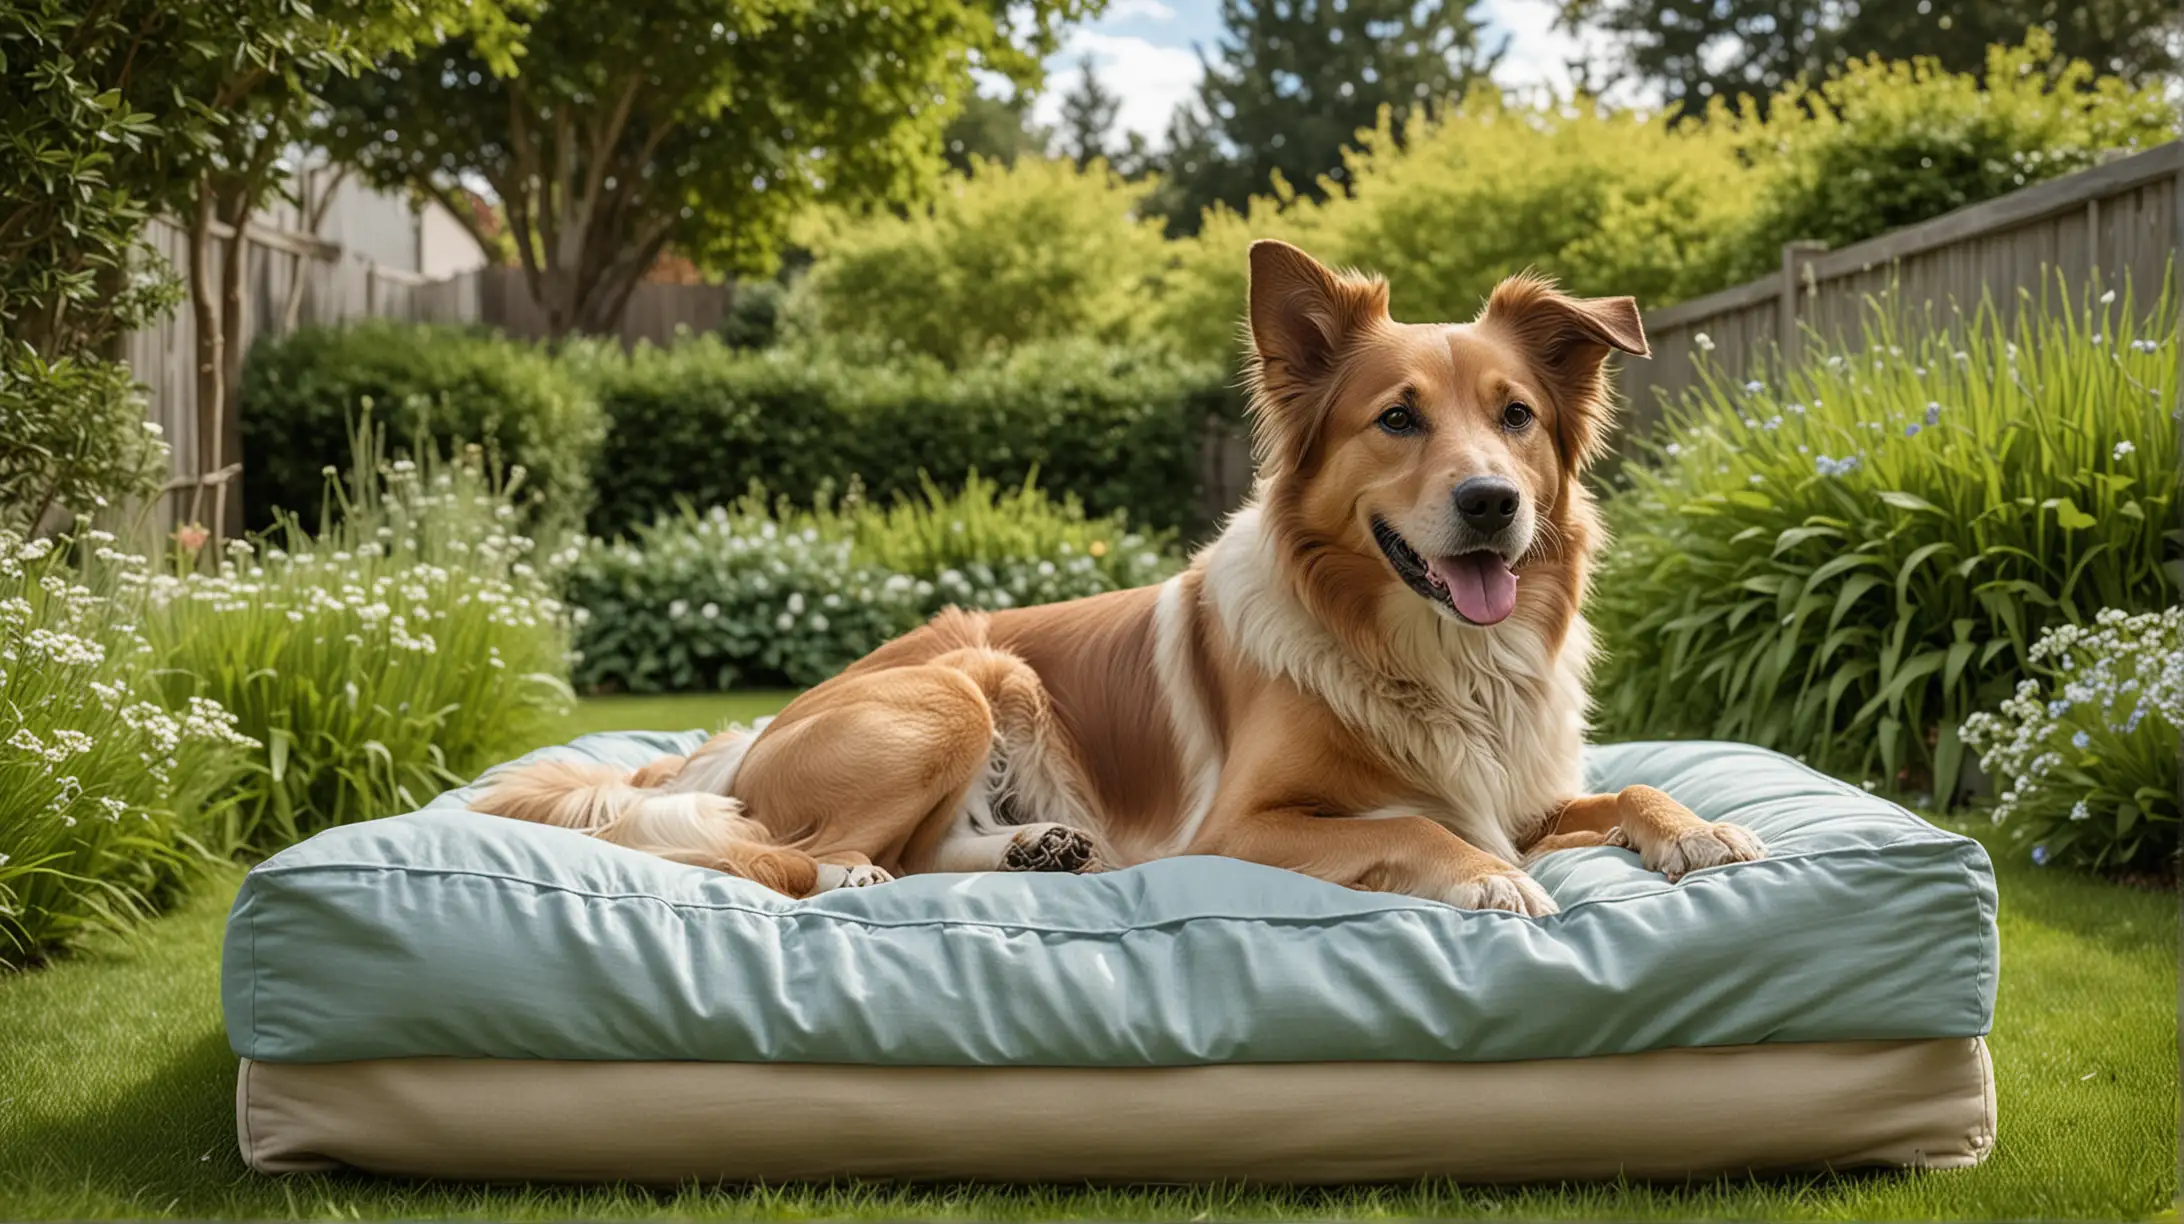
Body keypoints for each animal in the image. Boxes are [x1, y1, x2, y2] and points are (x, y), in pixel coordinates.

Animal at [469, 241, 1764, 909]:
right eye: (1397, 419)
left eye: (1515, 416)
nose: (1493, 504)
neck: (1426, 650)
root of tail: (748, 732)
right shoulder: (1241, 828)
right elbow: (1423, 828)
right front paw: (1491, 880)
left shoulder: (1525, 789)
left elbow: (1620, 792)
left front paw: (1695, 826)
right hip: (957, 686)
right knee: (780, 856)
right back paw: (847, 867)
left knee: (922, 851)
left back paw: (1041, 849)